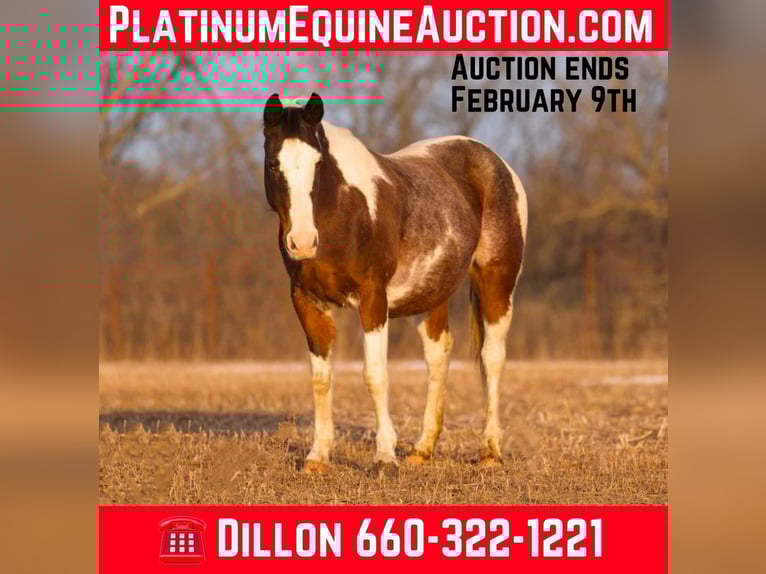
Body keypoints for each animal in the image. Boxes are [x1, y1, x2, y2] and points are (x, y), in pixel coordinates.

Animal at [262, 93, 527, 474]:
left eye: (318, 163)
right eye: (273, 164)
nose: (302, 242)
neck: (343, 212)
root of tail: (496, 161)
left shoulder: (374, 299)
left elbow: (375, 374)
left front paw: (385, 457)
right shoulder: (307, 301)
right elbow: (320, 379)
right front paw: (317, 457)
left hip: (497, 282)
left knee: (492, 358)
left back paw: (490, 451)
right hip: (432, 293)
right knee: (438, 355)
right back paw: (422, 448)